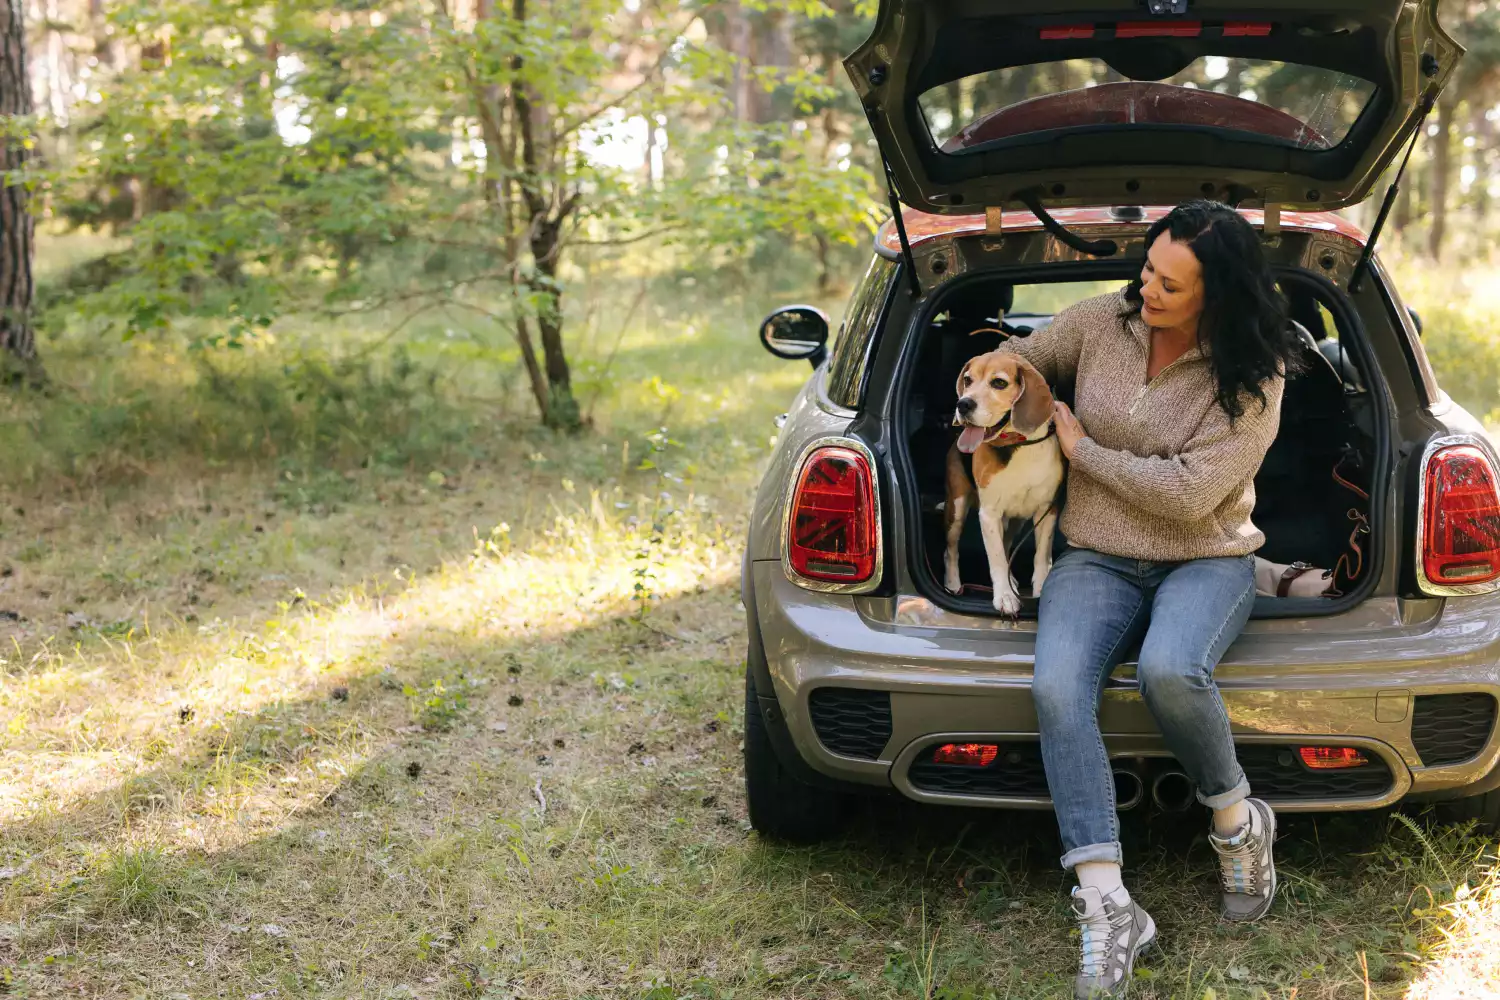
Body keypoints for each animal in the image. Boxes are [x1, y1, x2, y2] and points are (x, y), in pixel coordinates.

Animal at [948, 352, 1068, 617]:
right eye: (968, 380)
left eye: (999, 383)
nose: (963, 404)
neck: (1020, 444)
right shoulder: (989, 514)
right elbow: (997, 559)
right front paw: (1004, 596)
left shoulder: (1046, 509)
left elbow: (1041, 554)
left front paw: (1040, 587)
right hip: (957, 510)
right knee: (951, 549)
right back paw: (952, 583)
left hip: (1015, 521)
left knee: (1006, 543)